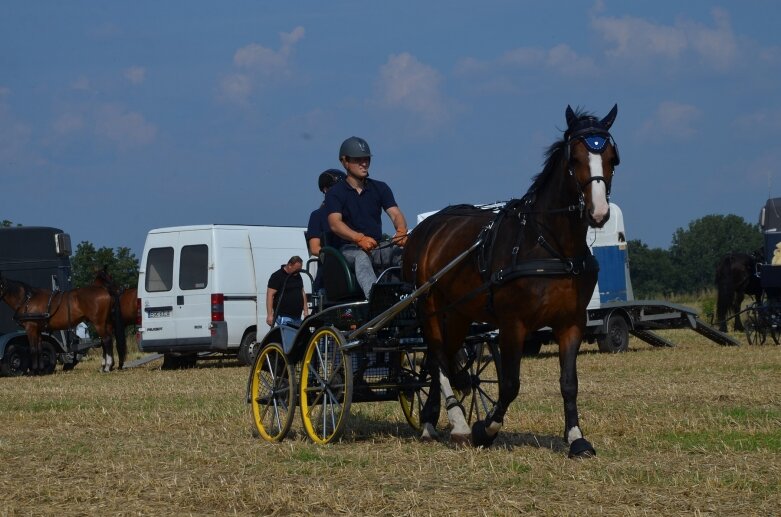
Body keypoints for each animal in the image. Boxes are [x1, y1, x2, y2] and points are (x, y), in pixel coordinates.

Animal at [400, 105, 620, 456]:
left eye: (612, 158)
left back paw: (430, 422)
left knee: (442, 358)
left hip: (457, 313)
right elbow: (510, 384)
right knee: (438, 358)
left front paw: (576, 438)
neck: (551, 245)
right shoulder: (512, 323)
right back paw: (459, 425)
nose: (598, 212)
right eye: (574, 159)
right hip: (428, 307)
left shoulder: (571, 321)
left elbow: (569, 383)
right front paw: (485, 429)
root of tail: (425, 229)